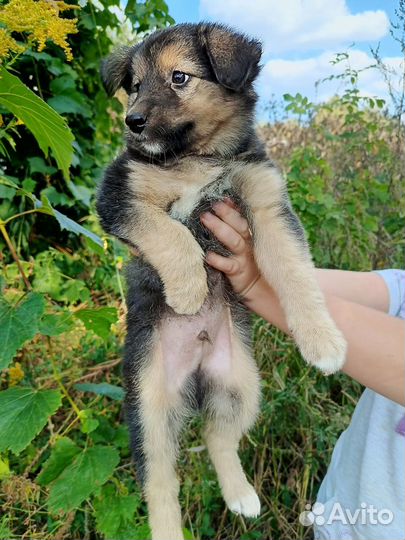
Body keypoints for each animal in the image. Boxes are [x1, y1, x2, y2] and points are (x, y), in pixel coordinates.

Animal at [96, 23, 346, 540]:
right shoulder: (119, 194)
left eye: (179, 77)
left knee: (217, 437)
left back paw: (241, 496)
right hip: (147, 409)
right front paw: (189, 289)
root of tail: (195, 375)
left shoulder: (268, 207)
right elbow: (169, 232)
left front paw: (323, 342)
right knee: (160, 483)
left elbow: (297, 275)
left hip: (242, 388)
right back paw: (170, 530)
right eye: (134, 85)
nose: (132, 121)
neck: (201, 158)